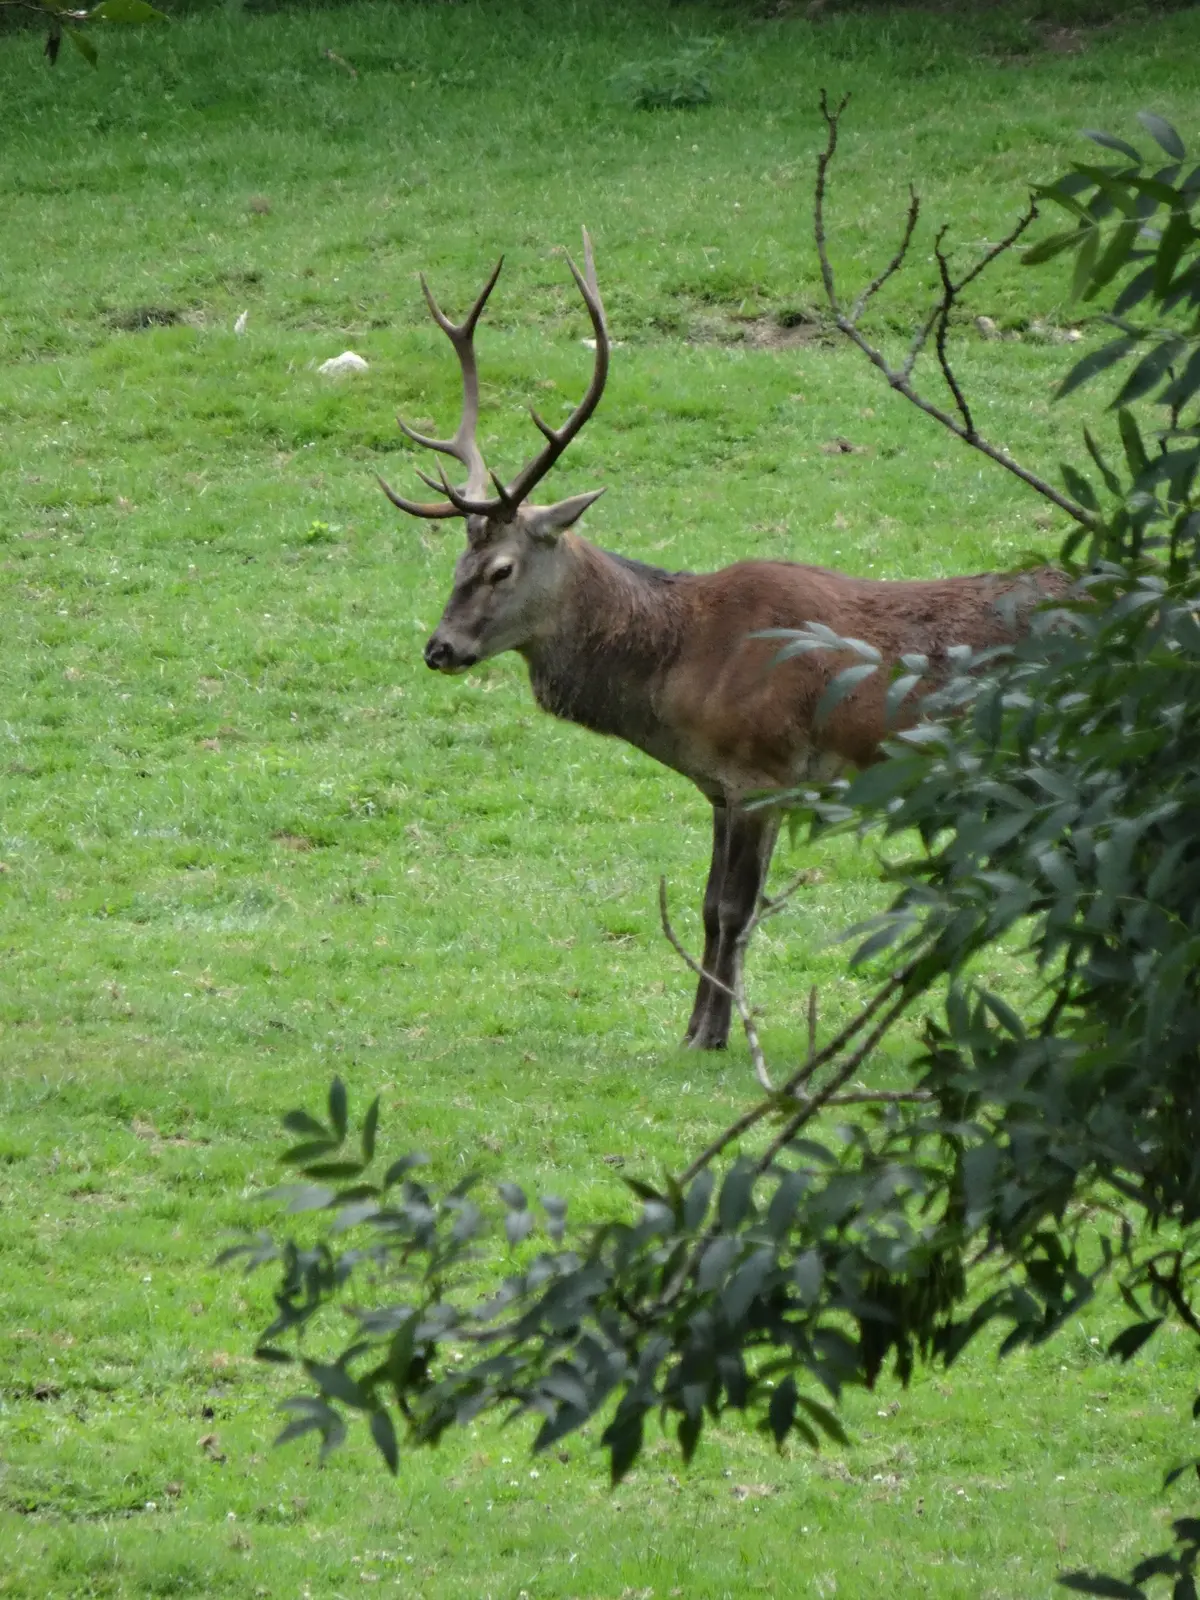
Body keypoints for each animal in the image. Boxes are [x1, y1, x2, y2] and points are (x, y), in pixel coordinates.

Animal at [379, 233, 1069, 1051]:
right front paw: (698, 1031)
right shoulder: (722, 786)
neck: (684, 666)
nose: (439, 649)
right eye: (455, 562)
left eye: (501, 568)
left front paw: (711, 1036)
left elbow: (735, 912)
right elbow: (711, 907)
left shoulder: (762, 771)